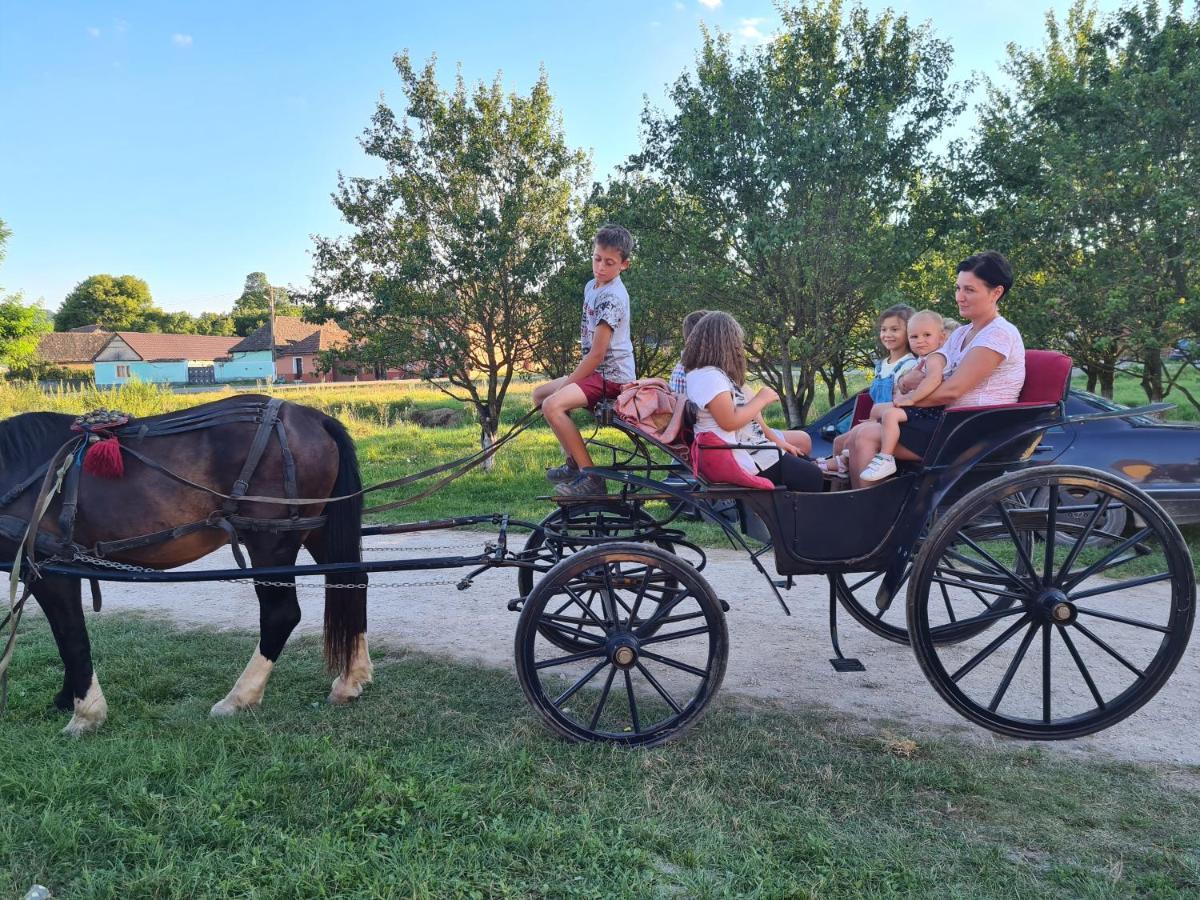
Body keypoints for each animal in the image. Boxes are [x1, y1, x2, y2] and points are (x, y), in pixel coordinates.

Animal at [0, 398, 369, 734]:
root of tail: (317, 419)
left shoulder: (48, 570)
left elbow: (70, 636)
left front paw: (85, 715)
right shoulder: (58, 568)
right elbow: (66, 638)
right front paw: (67, 699)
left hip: (271, 542)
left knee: (282, 614)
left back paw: (240, 697)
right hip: (318, 530)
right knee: (352, 582)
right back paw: (350, 679)